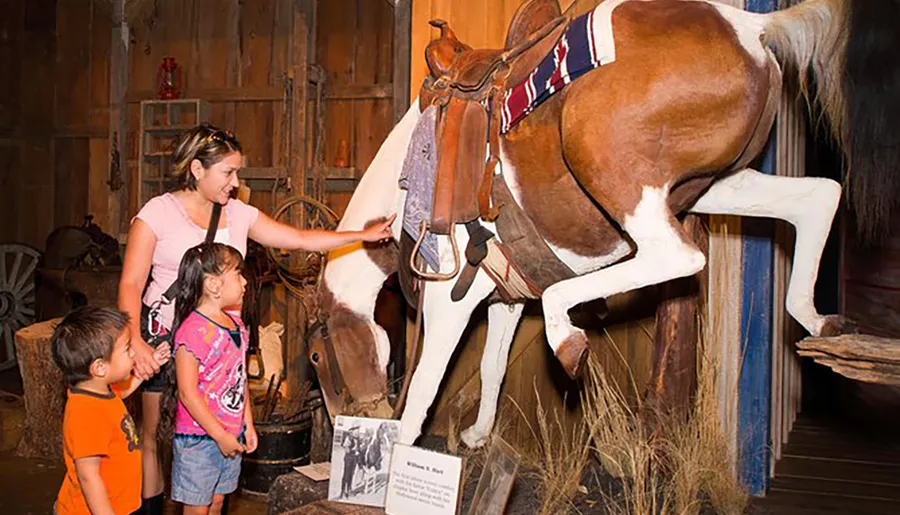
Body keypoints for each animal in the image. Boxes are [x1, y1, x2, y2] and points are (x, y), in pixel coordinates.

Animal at [310, 0, 900, 446]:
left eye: (317, 358)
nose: (343, 423)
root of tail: (750, 26)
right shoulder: (504, 297)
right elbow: (492, 366)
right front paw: (478, 436)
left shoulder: (449, 299)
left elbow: (424, 393)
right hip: (719, 185)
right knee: (818, 198)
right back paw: (820, 321)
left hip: (614, 172)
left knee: (675, 256)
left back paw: (568, 337)